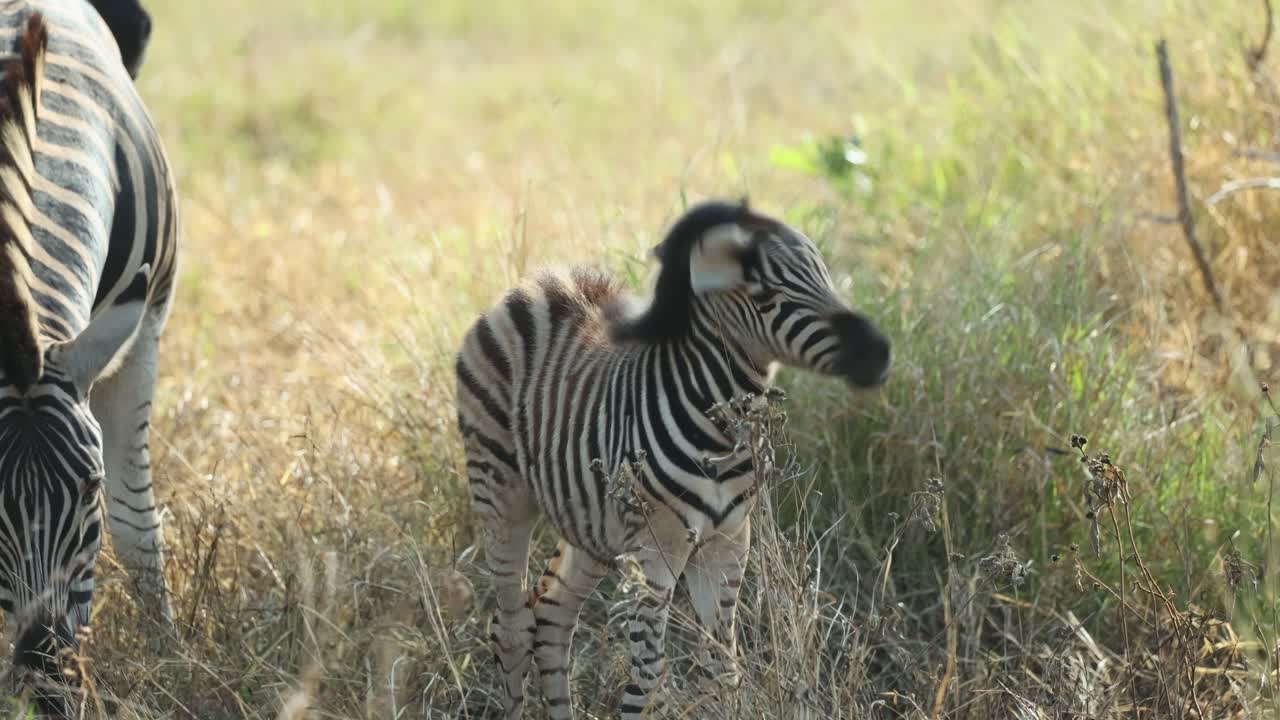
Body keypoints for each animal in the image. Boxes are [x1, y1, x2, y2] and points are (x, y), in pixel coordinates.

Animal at [455, 199, 891, 718]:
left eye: (824, 275)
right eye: (766, 294)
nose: (879, 352)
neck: (721, 432)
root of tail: (538, 283)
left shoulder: (729, 542)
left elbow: (723, 669)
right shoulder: (657, 546)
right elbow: (649, 676)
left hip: (593, 523)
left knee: (552, 614)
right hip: (500, 489)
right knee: (512, 627)